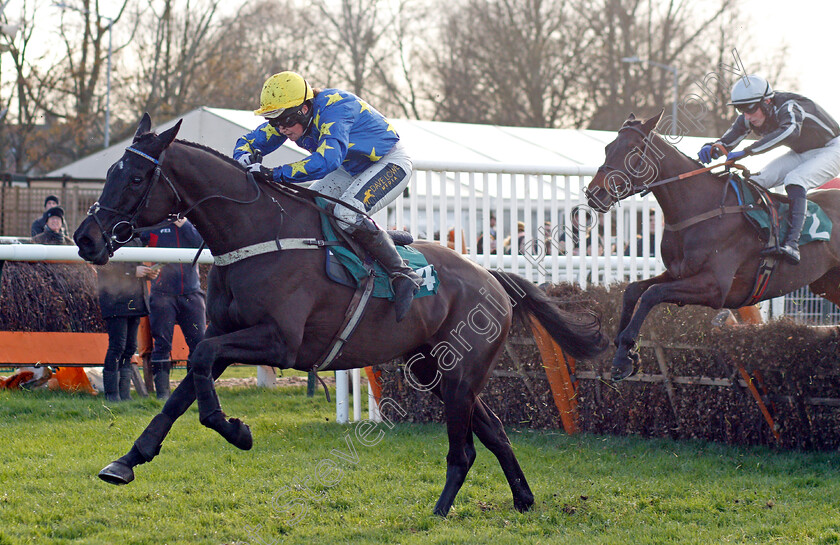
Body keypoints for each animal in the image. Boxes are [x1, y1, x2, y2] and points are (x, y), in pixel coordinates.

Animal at [74, 113, 612, 516]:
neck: (257, 231)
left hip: (461, 372)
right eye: (111, 174)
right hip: (434, 371)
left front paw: (236, 431)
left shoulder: (281, 342)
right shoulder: (228, 333)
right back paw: (523, 498)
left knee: (464, 449)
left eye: (136, 178)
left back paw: (440, 510)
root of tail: (492, 278)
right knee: (496, 431)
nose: (86, 238)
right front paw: (127, 461)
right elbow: (183, 389)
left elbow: (201, 363)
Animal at [588, 112, 840, 380]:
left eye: (633, 150)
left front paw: (625, 354)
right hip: (828, 284)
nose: (594, 194)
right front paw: (626, 352)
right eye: (608, 148)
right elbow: (633, 290)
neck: (701, 209)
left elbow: (651, 294)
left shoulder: (716, 287)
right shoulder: (678, 273)